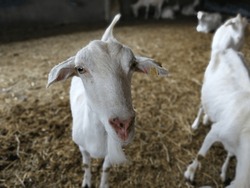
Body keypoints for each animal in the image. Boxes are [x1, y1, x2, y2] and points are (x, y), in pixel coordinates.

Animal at [47, 13, 168, 188]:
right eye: (80, 69)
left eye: (132, 65)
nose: (124, 125)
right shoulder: (82, 147)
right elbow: (86, 164)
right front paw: (86, 182)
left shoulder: (111, 151)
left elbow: (106, 167)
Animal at [185, 13, 249, 187]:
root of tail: (226, 50)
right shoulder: (216, 131)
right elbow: (201, 155)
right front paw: (190, 174)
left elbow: (230, 155)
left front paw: (224, 173)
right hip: (205, 85)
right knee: (202, 106)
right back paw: (197, 123)